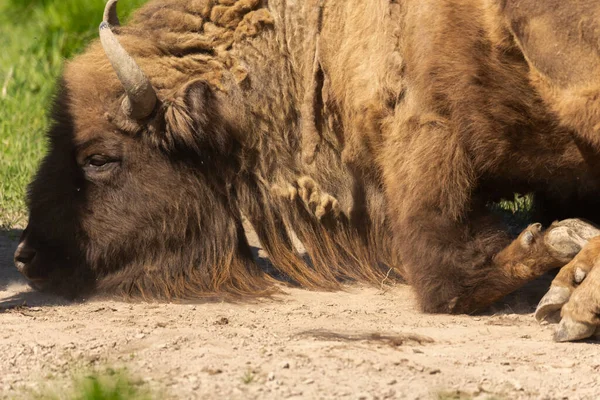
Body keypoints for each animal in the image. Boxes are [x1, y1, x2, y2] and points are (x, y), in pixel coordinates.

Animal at [12, 0, 600, 340]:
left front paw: (553, 246)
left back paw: (573, 301)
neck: (318, 34)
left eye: (99, 158)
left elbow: (447, 280)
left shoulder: (427, 146)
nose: (28, 256)